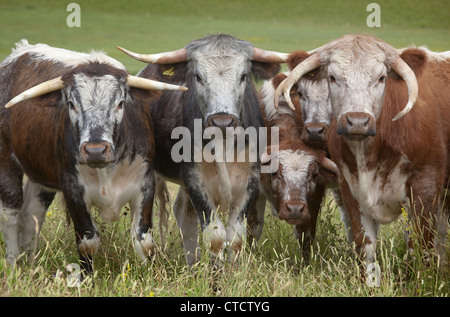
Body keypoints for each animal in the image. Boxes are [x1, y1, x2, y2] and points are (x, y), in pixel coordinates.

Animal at [0, 40, 186, 272]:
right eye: (71, 104)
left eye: (120, 103)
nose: (95, 150)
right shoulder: (72, 190)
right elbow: (88, 241)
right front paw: (86, 276)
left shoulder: (146, 184)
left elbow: (144, 241)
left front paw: (150, 273)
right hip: (6, 162)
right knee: (11, 216)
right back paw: (13, 264)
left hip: (41, 177)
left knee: (32, 216)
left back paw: (30, 262)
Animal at [118, 34, 290, 264]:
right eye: (198, 77)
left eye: (243, 76)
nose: (222, 122)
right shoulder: (195, 181)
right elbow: (216, 237)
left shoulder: (250, 182)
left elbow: (235, 238)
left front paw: (234, 271)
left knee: (184, 214)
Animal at [280, 34, 448, 276]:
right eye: (332, 77)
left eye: (381, 77)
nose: (357, 121)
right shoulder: (351, 188)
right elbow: (365, 249)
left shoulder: (425, 187)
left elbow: (421, 247)